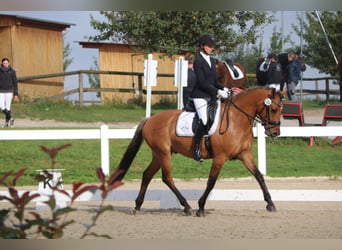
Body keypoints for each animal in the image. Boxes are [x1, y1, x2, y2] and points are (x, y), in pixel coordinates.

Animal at [109, 87, 284, 216]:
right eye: (274, 109)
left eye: (281, 109)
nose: (275, 133)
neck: (236, 120)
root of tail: (150, 119)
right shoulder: (220, 157)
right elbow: (211, 181)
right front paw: (200, 208)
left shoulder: (245, 154)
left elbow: (259, 176)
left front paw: (270, 204)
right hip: (164, 154)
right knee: (167, 178)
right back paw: (186, 206)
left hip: (159, 154)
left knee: (147, 175)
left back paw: (137, 206)